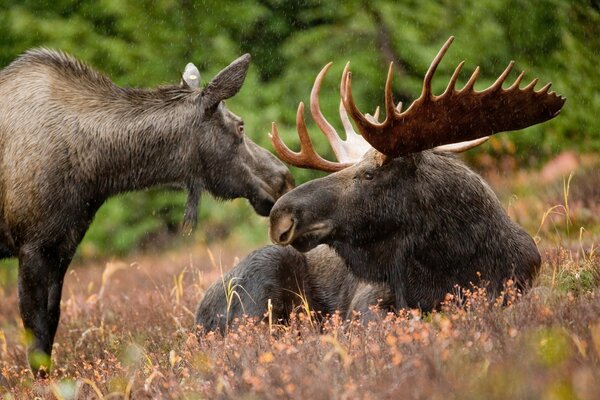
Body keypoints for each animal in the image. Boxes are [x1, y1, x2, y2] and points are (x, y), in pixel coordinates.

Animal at [0, 47, 292, 376]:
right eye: (240, 126)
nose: (283, 178)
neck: (96, 172)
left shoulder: (61, 246)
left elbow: (50, 324)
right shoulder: (32, 246)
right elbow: (35, 334)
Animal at [196, 36, 564, 332]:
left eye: (369, 174)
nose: (280, 215)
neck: (456, 259)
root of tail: (198, 316)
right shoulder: (369, 300)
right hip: (263, 275)